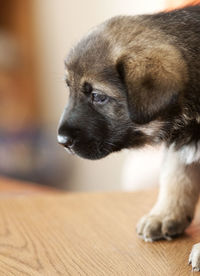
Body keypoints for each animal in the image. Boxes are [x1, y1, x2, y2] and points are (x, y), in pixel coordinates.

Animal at [57, 5, 200, 272]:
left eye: (98, 97)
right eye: (69, 88)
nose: (61, 140)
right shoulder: (180, 143)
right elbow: (176, 179)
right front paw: (165, 215)